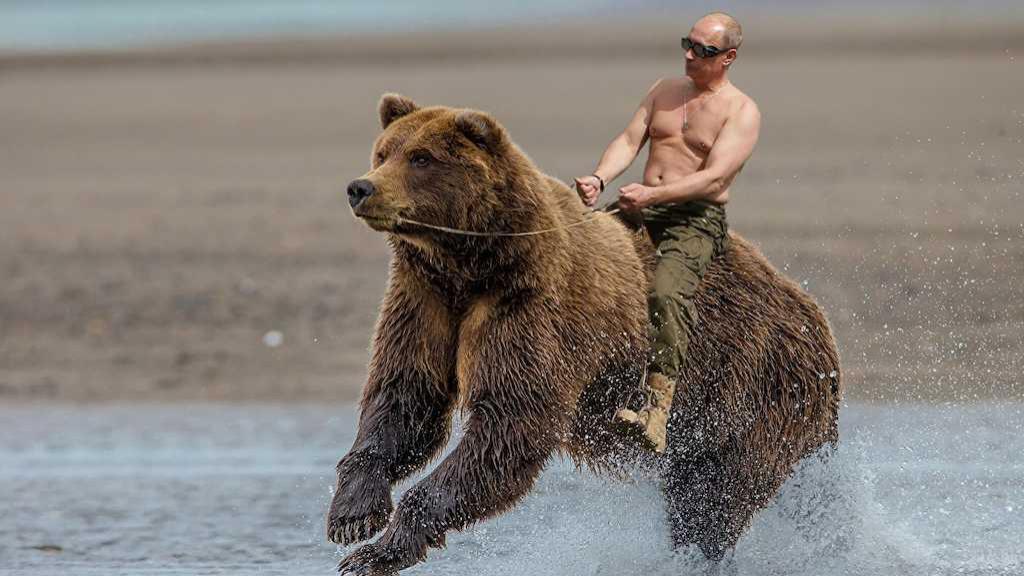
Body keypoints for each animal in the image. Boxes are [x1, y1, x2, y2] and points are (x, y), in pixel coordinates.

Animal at [326, 93, 842, 574]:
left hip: (750, 394)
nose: (360, 187)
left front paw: (377, 551)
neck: (469, 265)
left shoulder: (531, 308)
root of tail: (816, 320)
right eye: (384, 151)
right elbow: (405, 398)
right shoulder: (425, 301)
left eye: (422, 158)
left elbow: (510, 423)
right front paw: (353, 514)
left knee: (712, 502)